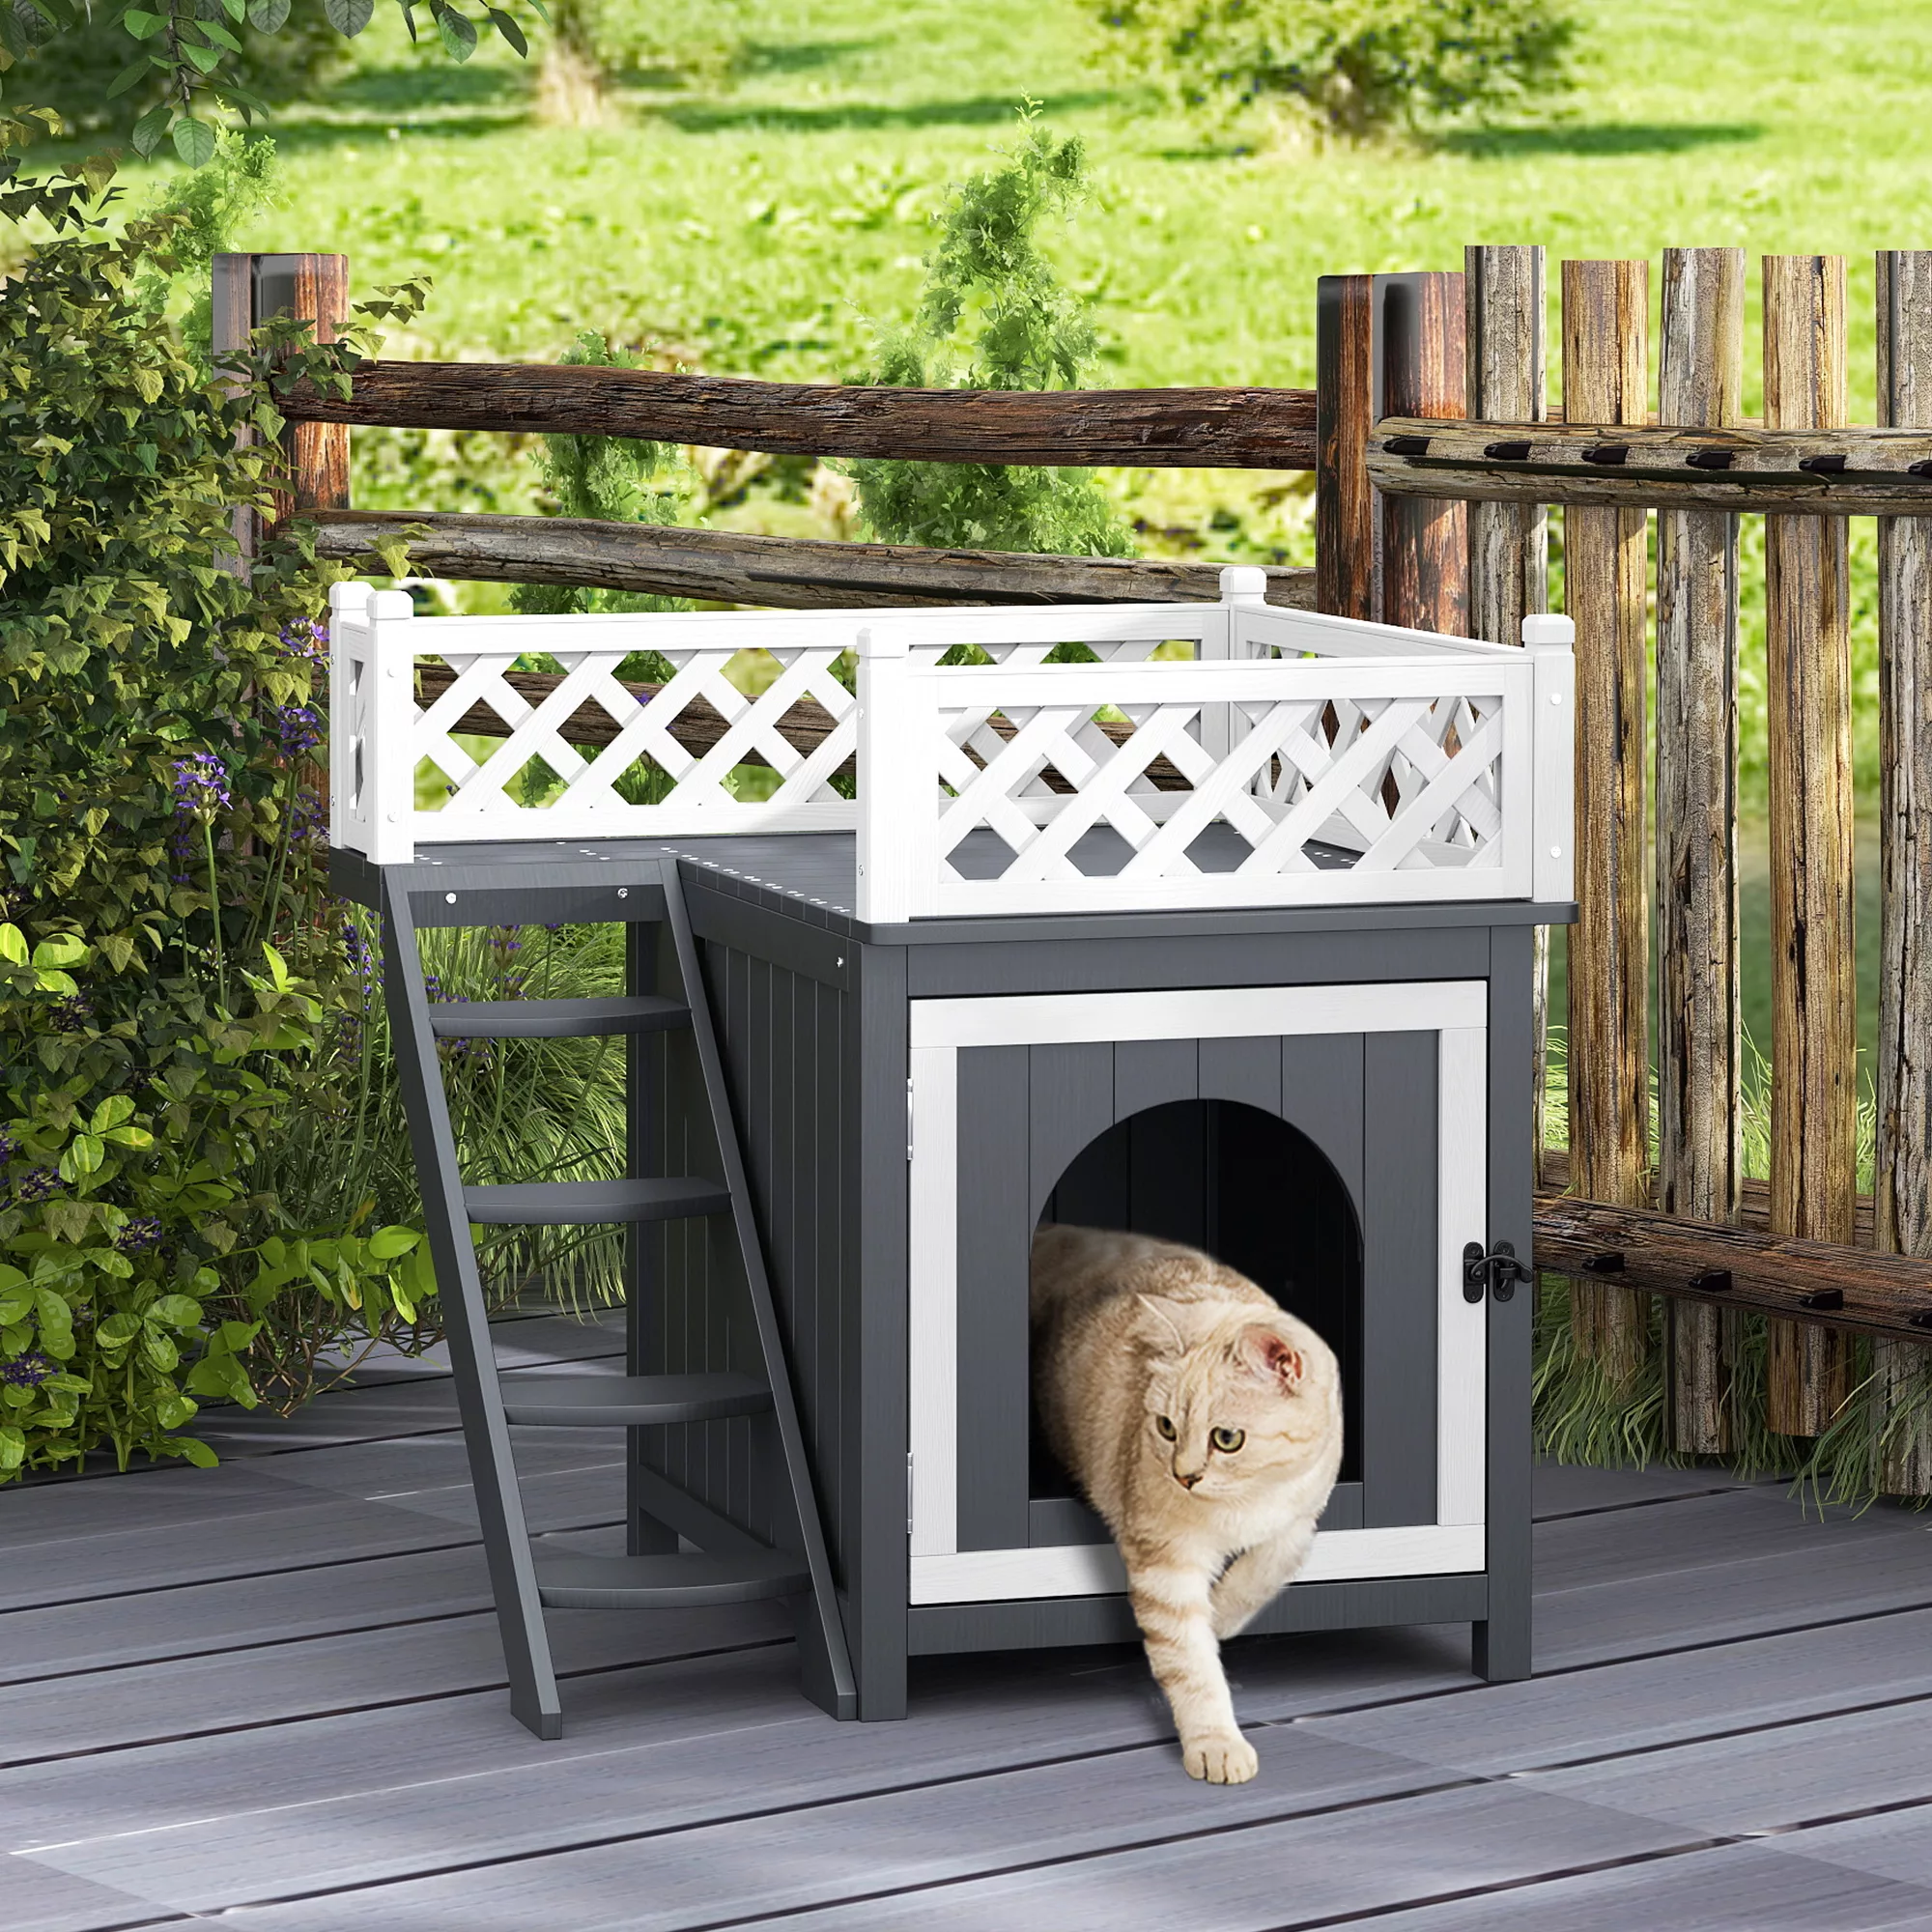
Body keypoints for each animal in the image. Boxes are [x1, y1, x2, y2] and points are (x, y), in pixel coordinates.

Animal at [1036, 1229, 1337, 1785]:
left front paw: (1223, 1614)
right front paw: (1216, 1743)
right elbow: (1191, 1664)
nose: (1185, 1476)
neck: (1248, 1498)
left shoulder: (1302, 1516)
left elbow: (1267, 1565)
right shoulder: (1165, 1564)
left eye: (1227, 1438)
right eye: (1166, 1428)